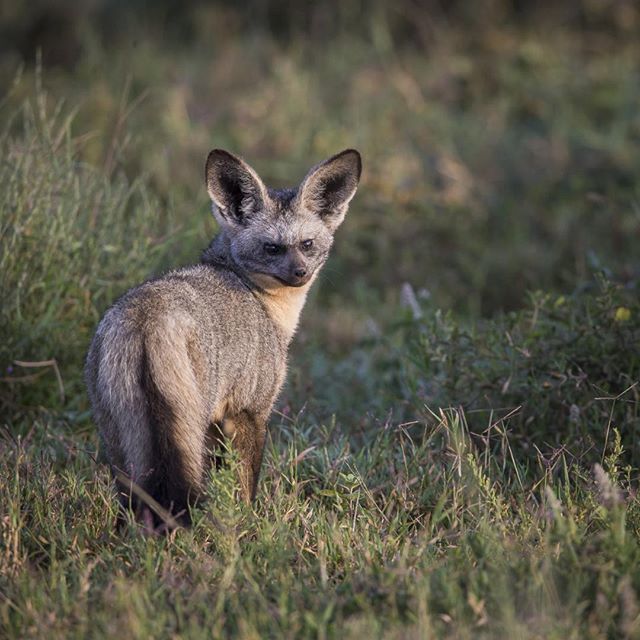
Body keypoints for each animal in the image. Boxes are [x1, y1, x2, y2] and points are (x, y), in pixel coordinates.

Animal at [84, 148, 362, 529]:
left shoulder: (219, 420)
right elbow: (246, 484)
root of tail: (146, 318)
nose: (300, 273)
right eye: (271, 248)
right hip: (188, 430)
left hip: (121, 442)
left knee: (133, 502)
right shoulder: (250, 410)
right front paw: (251, 524)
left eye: (307, 245)